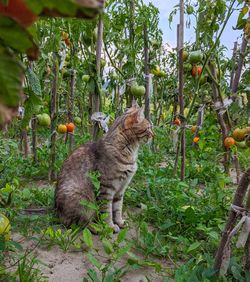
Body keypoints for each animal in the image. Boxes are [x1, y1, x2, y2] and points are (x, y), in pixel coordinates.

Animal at [54, 103, 152, 231]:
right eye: (149, 127)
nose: (153, 135)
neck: (130, 152)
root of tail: (56, 212)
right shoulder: (106, 188)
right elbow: (107, 211)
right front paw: (110, 226)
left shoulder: (121, 189)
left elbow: (117, 208)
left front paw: (119, 222)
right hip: (83, 201)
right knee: (78, 224)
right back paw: (97, 228)